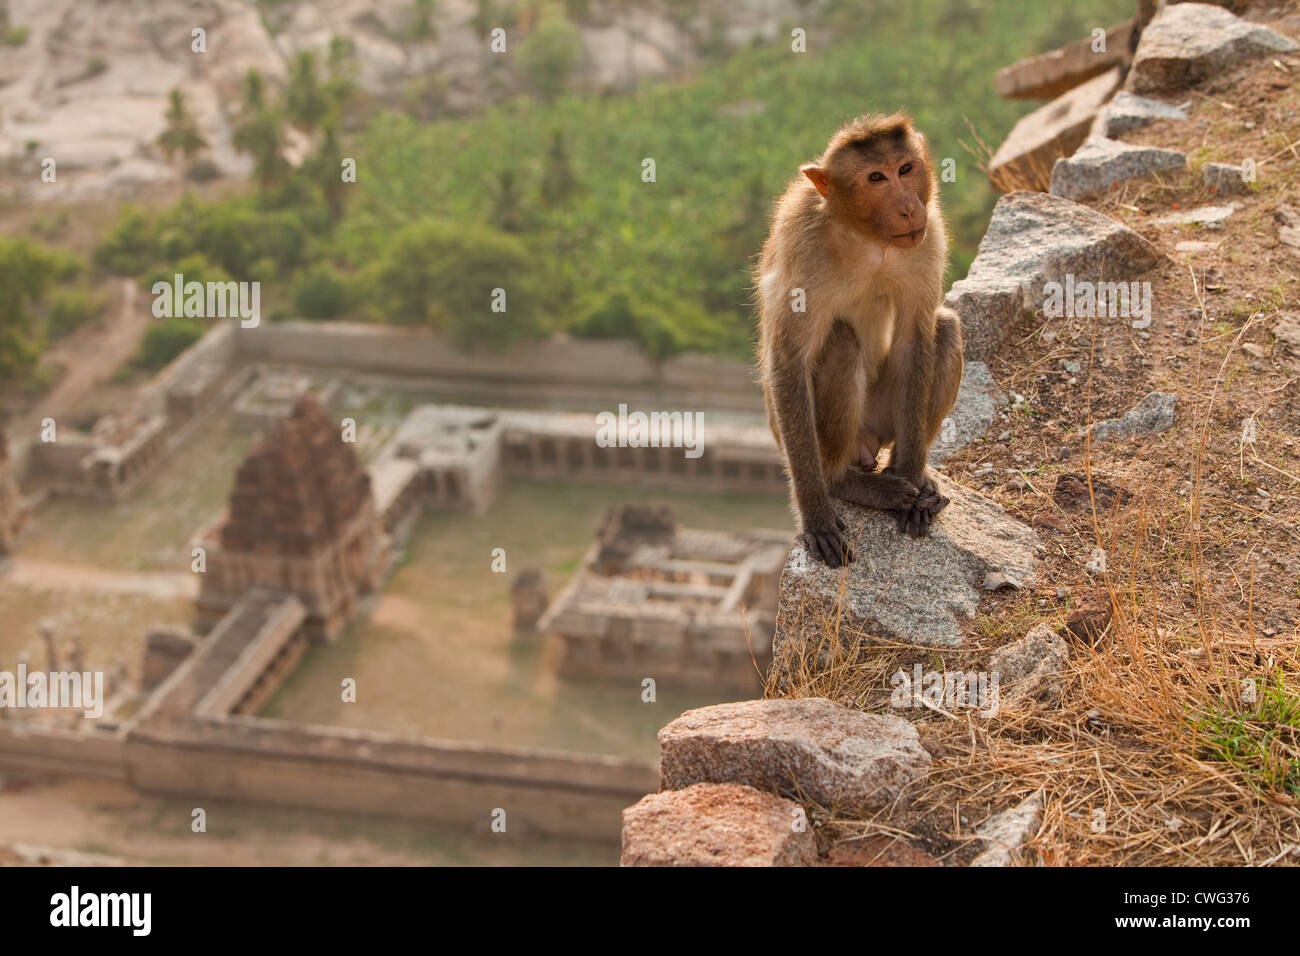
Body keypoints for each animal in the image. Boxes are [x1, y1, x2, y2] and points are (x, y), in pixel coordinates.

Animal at [759, 113, 961, 567]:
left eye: (905, 168)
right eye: (876, 178)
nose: (908, 207)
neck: (867, 239)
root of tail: (865, 446)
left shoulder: (930, 235)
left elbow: (915, 338)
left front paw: (914, 480)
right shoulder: (802, 241)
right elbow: (789, 359)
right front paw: (816, 513)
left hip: (882, 420)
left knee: (945, 328)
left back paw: (907, 478)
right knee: (840, 341)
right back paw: (843, 484)